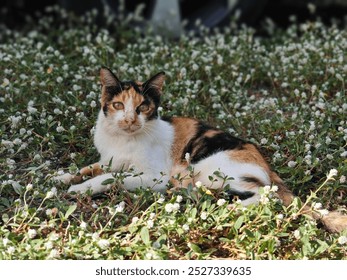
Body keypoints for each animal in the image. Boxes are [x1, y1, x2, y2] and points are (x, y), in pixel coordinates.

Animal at [56, 66, 347, 233]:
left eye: (143, 107)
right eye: (118, 105)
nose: (129, 120)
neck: (123, 139)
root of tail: (267, 166)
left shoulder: (153, 176)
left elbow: (108, 178)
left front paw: (80, 189)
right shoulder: (110, 159)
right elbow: (91, 168)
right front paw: (64, 177)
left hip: (208, 169)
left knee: (266, 195)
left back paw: (223, 209)